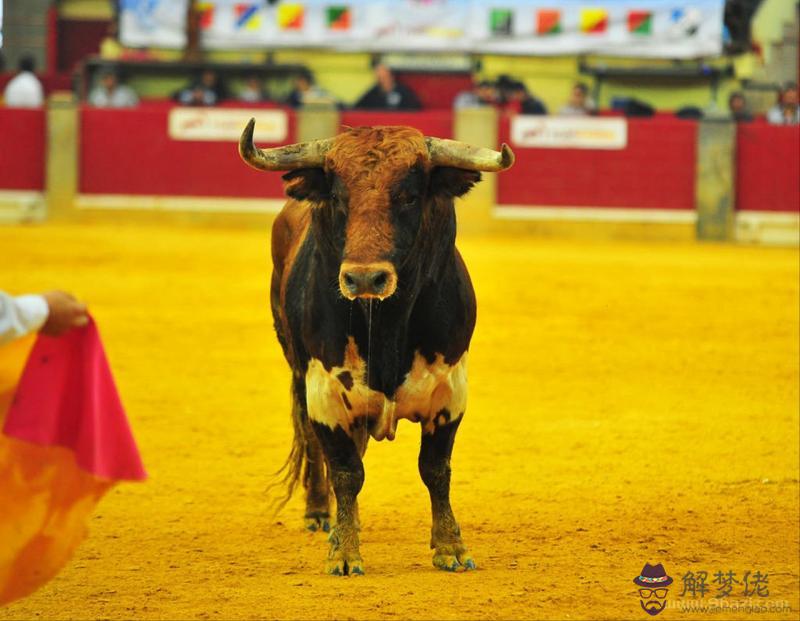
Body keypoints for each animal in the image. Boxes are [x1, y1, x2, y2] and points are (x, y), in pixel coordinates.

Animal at [239, 121, 512, 576]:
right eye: (337, 197)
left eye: (409, 196)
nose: (365, 278)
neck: (387, 325)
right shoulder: (324, 390)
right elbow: (346, 470)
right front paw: (345, 553)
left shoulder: (451, 390)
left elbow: (435, 469)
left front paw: (451, 547)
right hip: (297, 370)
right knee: (317, 446)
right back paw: (321, 514)